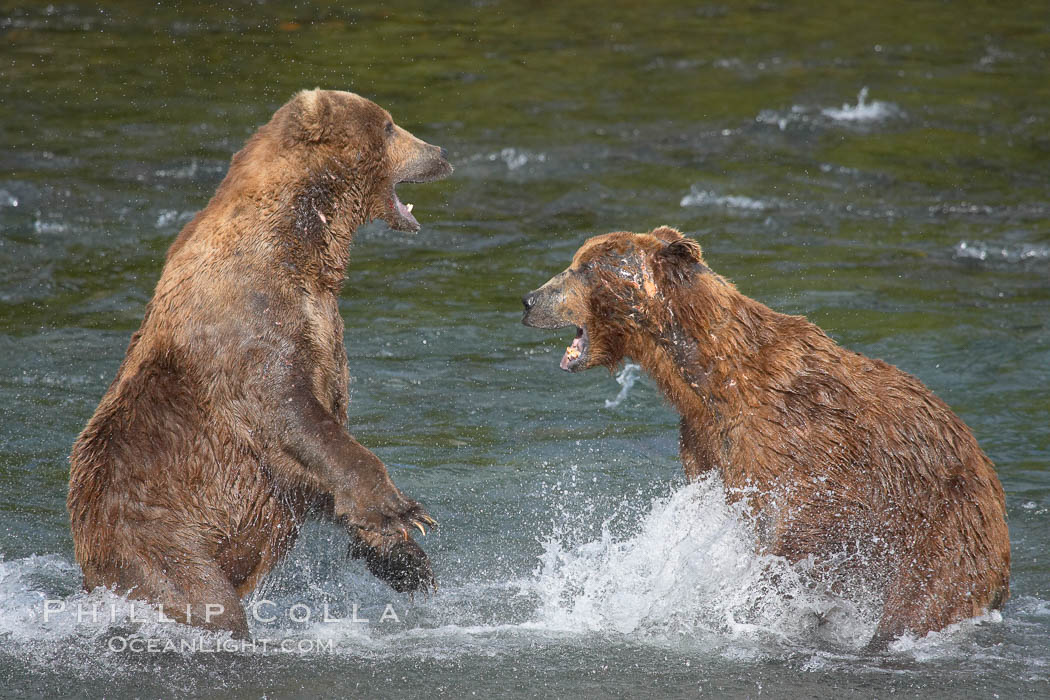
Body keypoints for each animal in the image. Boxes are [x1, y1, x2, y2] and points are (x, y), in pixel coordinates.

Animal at [67, 89, 453, 638]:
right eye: (388, 126)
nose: (440, 153)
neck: (303, 247)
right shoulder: (251, 323)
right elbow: (293, 414)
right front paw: (404, 510)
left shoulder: (322, 325)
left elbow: (321, 447)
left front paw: (403, 558)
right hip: (154, 536)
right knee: (201, 597)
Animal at [521, 226, 1010, 649]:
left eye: (585, 267)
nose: (527, 300)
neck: (709, 381)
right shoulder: (708, 448)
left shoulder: (796, 443)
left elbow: (802, 530)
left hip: (945, 530)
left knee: (923, 599)